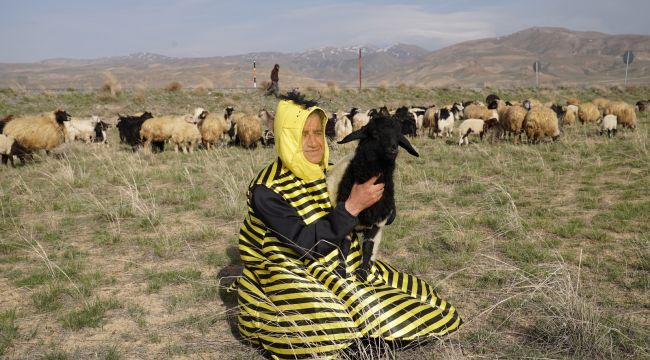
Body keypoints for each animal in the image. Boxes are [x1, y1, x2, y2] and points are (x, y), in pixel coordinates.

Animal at [324, 115, 420, 282]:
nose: (393, 149)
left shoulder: (378, 222)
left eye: (398, 136)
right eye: (374, 134)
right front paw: (341, 270)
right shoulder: (347, 215)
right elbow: (344, 245)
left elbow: (368, 247)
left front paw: (362, 272)